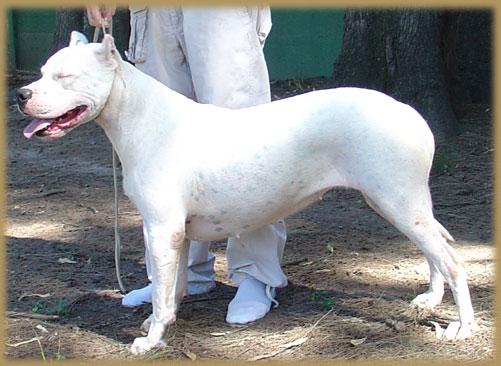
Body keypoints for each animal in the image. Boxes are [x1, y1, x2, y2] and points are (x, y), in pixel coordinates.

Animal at [17, 32, 474, 354]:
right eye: (41, 72)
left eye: (63, 76)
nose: (22, 93)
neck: (138, 113)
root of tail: (409, 112)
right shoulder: (177, 234)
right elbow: (173, 287)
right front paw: (163, 324)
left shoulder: (161, 230)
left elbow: (162, 293)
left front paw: (150, 341)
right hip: (405, 204)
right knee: (438, 248)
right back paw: (430, 301)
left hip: (397, 202)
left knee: (451, 259)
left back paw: (464, 327)